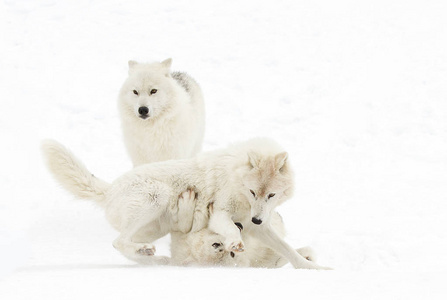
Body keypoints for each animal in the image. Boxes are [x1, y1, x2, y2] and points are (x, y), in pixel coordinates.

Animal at [41, 138, 328, 270]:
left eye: (271, 195)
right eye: (252, 191)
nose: (258, 218)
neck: (236, 179)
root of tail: (109, 189)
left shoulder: (258, 227)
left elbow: (288, 250)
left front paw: (315, 269)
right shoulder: (221, 215)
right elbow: (232, 231)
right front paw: (235, 243)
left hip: (156, 226)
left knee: (123, 245)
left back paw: (154, 259)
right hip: (156, 196)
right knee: (118, 242)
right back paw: (149, 254)